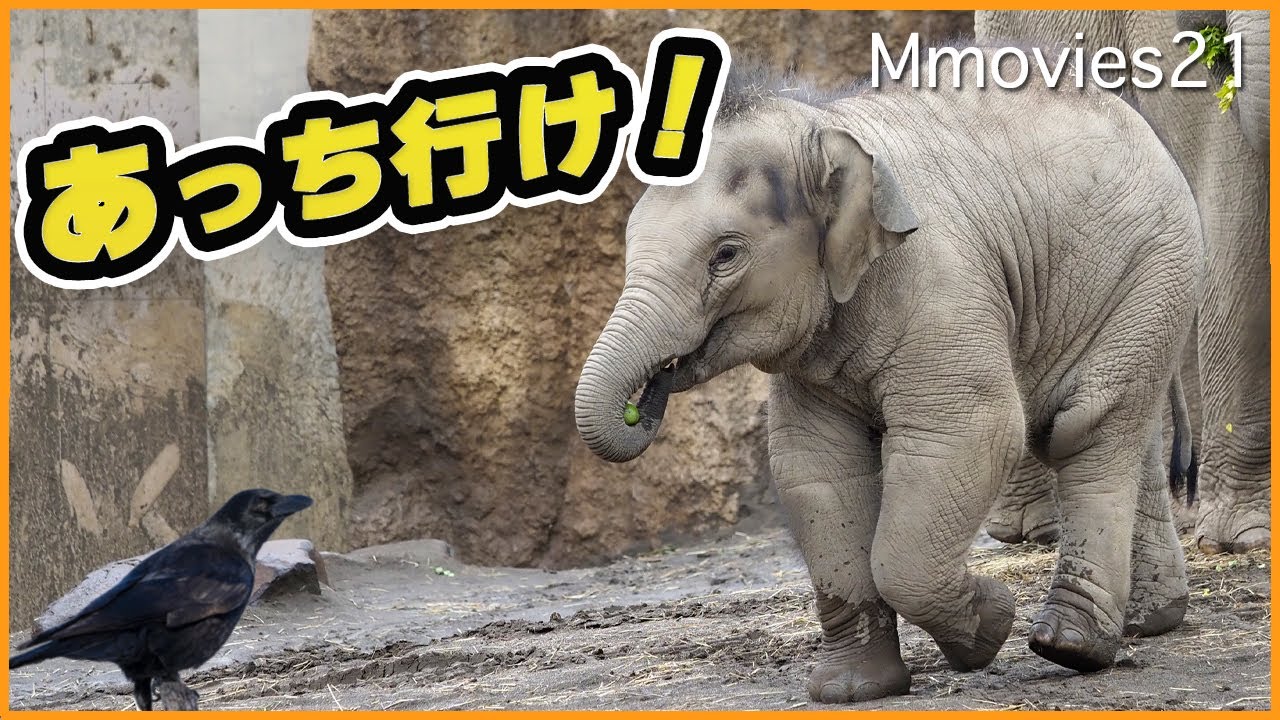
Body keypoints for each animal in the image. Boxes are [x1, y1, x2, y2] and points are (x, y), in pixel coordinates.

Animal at [575, 54, 1202, 703]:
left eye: (725, 255)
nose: (646, 398)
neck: (825, 128)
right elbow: (817, 468)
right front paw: (850, 690)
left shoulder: (942, 288)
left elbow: (968, 434)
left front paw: (990, 623)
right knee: (1124, 428)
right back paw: (1147, 622)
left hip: (1153, 270)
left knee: (1084, 430)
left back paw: (1069, 646)